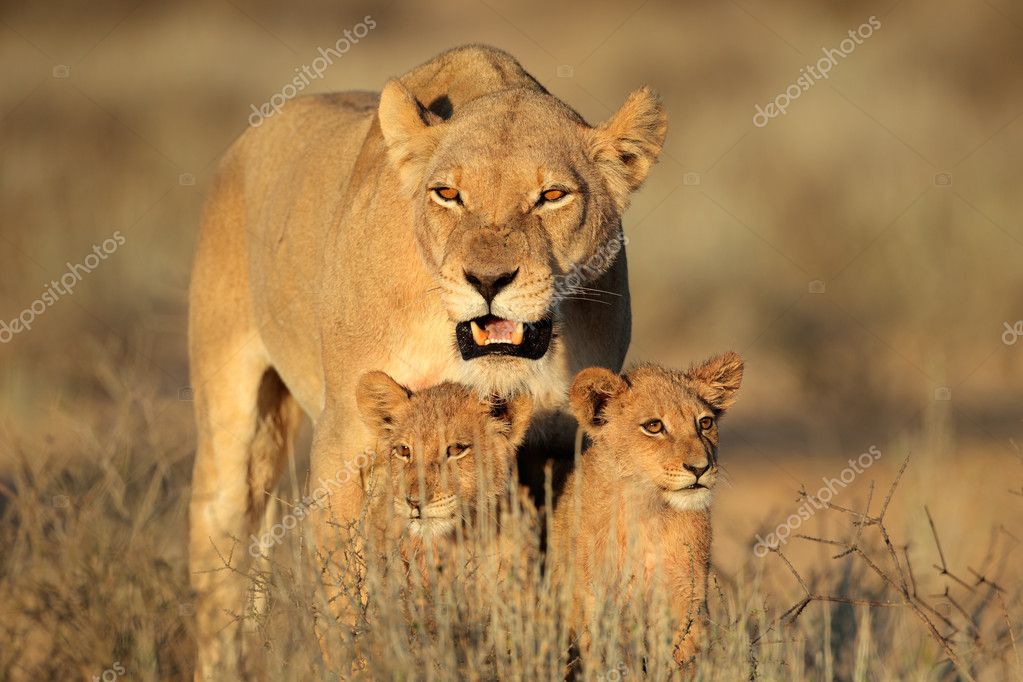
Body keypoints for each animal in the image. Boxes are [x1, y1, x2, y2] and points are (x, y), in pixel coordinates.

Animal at [187, 44, 666, 677]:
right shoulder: (346, 439)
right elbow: (345, 595)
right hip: (231, 420)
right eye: (448, 194)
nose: (488, 280)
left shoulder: (562, 449)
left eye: (552, 196)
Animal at [549, 353, 743, 671]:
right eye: (654, 426)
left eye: (705, 422)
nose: (701, 468)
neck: (648, 512)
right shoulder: (597, 603)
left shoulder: (686, 601)